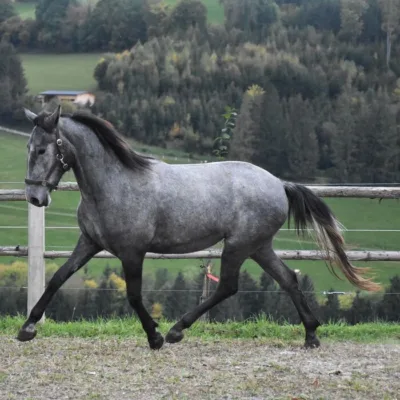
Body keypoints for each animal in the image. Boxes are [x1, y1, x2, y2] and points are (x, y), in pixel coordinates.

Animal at [17, 107, 380, 350]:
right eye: (28, 148)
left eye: (43, 149)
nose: (35, 197)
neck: (114, 183)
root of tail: (279, 184)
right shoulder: (90, 242)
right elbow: (57, 278)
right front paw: (28, 327)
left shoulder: (132, 251)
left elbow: (133, 295)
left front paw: (155, 336)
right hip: (259, 246)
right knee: (288, 279)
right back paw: (311, 335)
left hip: (238, 246)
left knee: (229, 287)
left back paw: (177, 330)